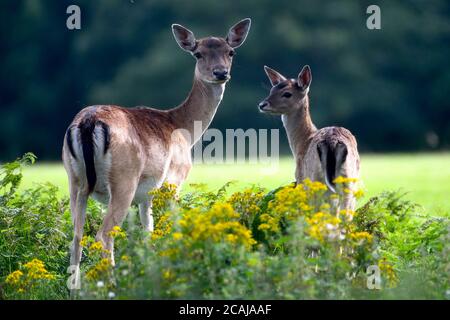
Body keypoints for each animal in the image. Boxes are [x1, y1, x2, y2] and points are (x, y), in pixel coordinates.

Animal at [62, 16, 251, 268]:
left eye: (231, 52)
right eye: (198, 54)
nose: (220, 73)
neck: (184, 129)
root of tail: (88, 123)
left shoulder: (146, 195)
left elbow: (147, 232)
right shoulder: (174, 180)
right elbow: (173, 227)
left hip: (74, 181)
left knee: (76, 238)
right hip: (124, 180)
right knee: (103, 235)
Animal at [258, 65, 360, 210]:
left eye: (287, 93)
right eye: (272, 90)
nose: (262, 105)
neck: (302, 142)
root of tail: (332, 143)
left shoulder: (300, 179)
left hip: (315, 182)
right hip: (349, 181)